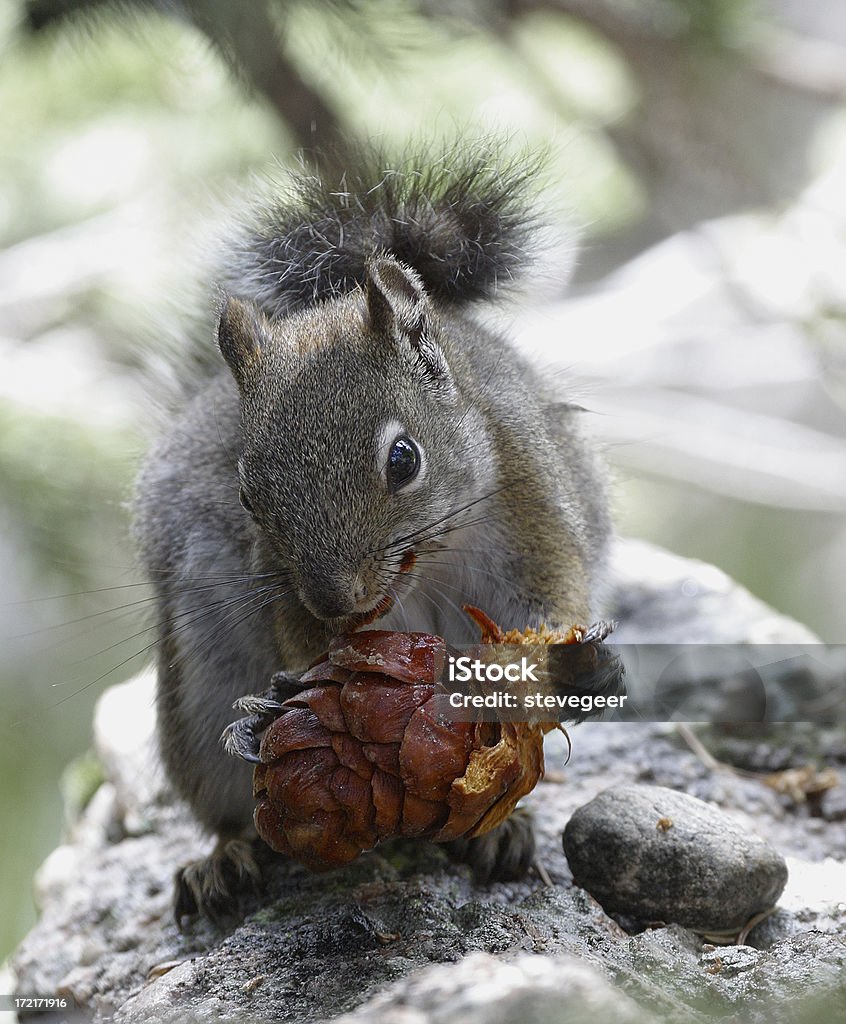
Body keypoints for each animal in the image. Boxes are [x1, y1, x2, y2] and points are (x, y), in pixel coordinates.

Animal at [130, 140, 606, 925]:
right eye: (247, 495)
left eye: (403, 459)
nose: (335, 599)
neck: (429, 563)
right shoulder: (284, 594)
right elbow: (308, 648)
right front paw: (292, 705)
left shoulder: (534, 510)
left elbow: (547, 613)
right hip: (199, 692)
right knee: (226, 809)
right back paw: (225, 860)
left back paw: (500, 828)